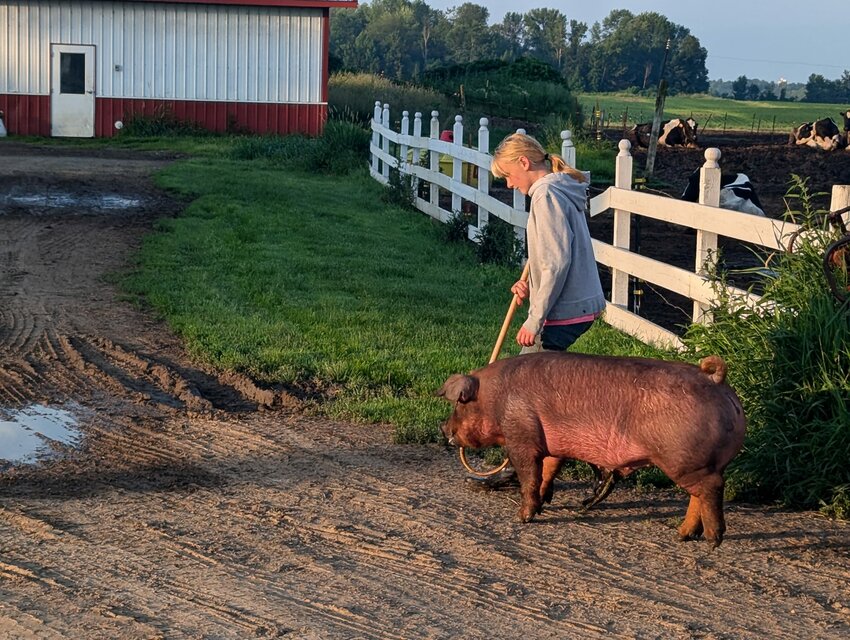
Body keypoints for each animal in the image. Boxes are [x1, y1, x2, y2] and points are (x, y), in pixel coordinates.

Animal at [438, 352, 744, 548]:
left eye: (460, 404)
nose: (443, 428)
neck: (494, 398)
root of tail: (716, 381)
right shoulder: (552, 443)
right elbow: (549, 470)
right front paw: (544, 504)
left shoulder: (521, 437)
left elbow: (530, 476)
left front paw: (523, 518)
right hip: (697, 462)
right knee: (698, 495)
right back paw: (683, 536)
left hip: (685, 461)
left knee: (712, 487)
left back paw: (712, 541)